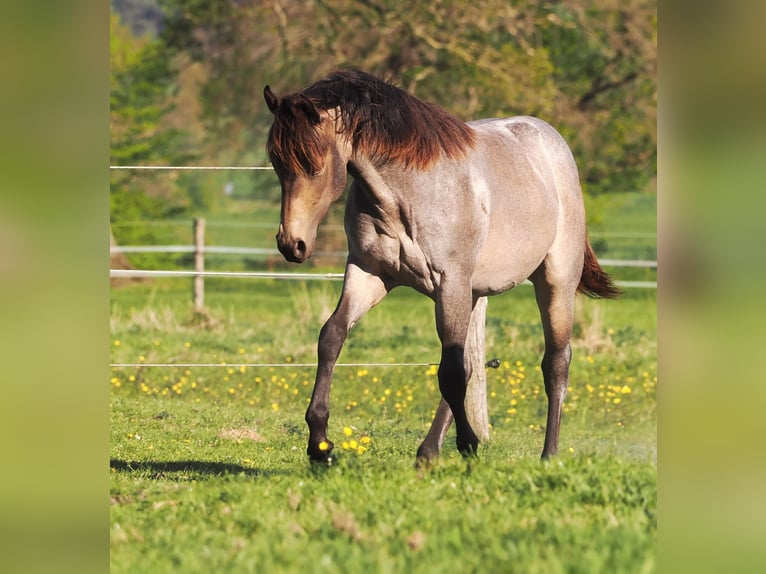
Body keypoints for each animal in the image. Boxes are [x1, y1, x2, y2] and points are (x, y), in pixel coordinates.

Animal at [263, 69, 620, 464]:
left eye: (314, 164)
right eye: (276, 162)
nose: (291, 244)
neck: (405, 194)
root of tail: (551, 141)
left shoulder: (449, 283)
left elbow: (449, 371)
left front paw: (468, 444)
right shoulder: (368, 273)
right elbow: (332, 337)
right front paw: (320, 443)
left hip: (554, 282)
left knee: (555, 364)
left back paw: (548, 455)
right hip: (473, 292)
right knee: (468, 365)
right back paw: (429, 451)